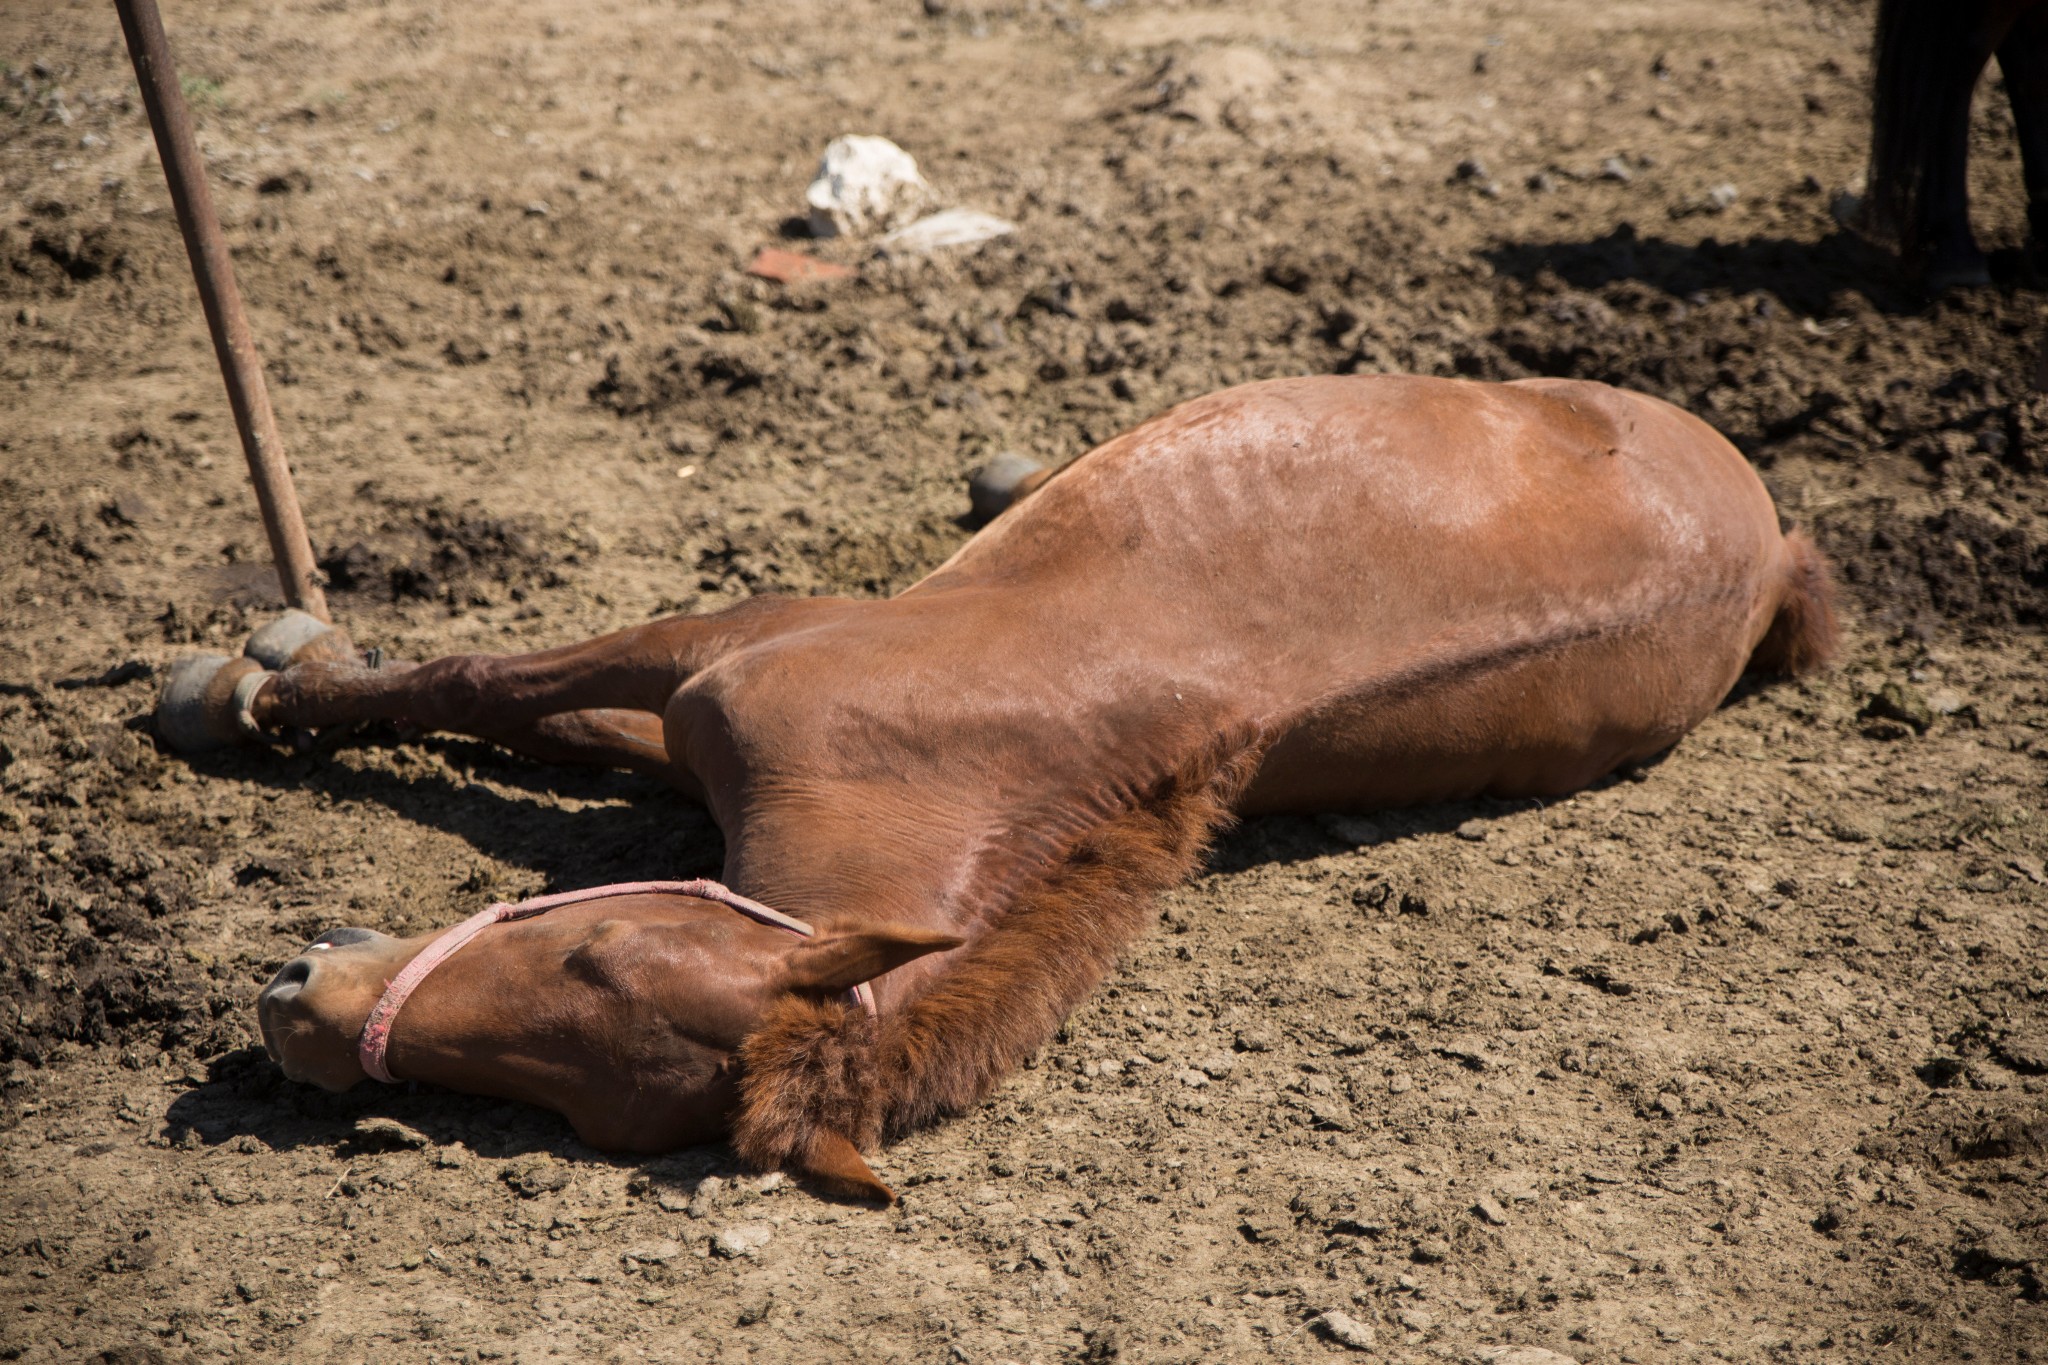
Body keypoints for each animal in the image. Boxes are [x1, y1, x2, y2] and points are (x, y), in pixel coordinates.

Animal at [155, 378, 1826, 1203]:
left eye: (586, 983)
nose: (299, 1010)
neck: (947, 752)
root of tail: (1776, 536)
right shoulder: (715, 656)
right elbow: (500, 694)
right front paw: (257, 685)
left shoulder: (725, 658)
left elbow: (493, 692)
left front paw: (261, 684)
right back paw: (1009, 473)